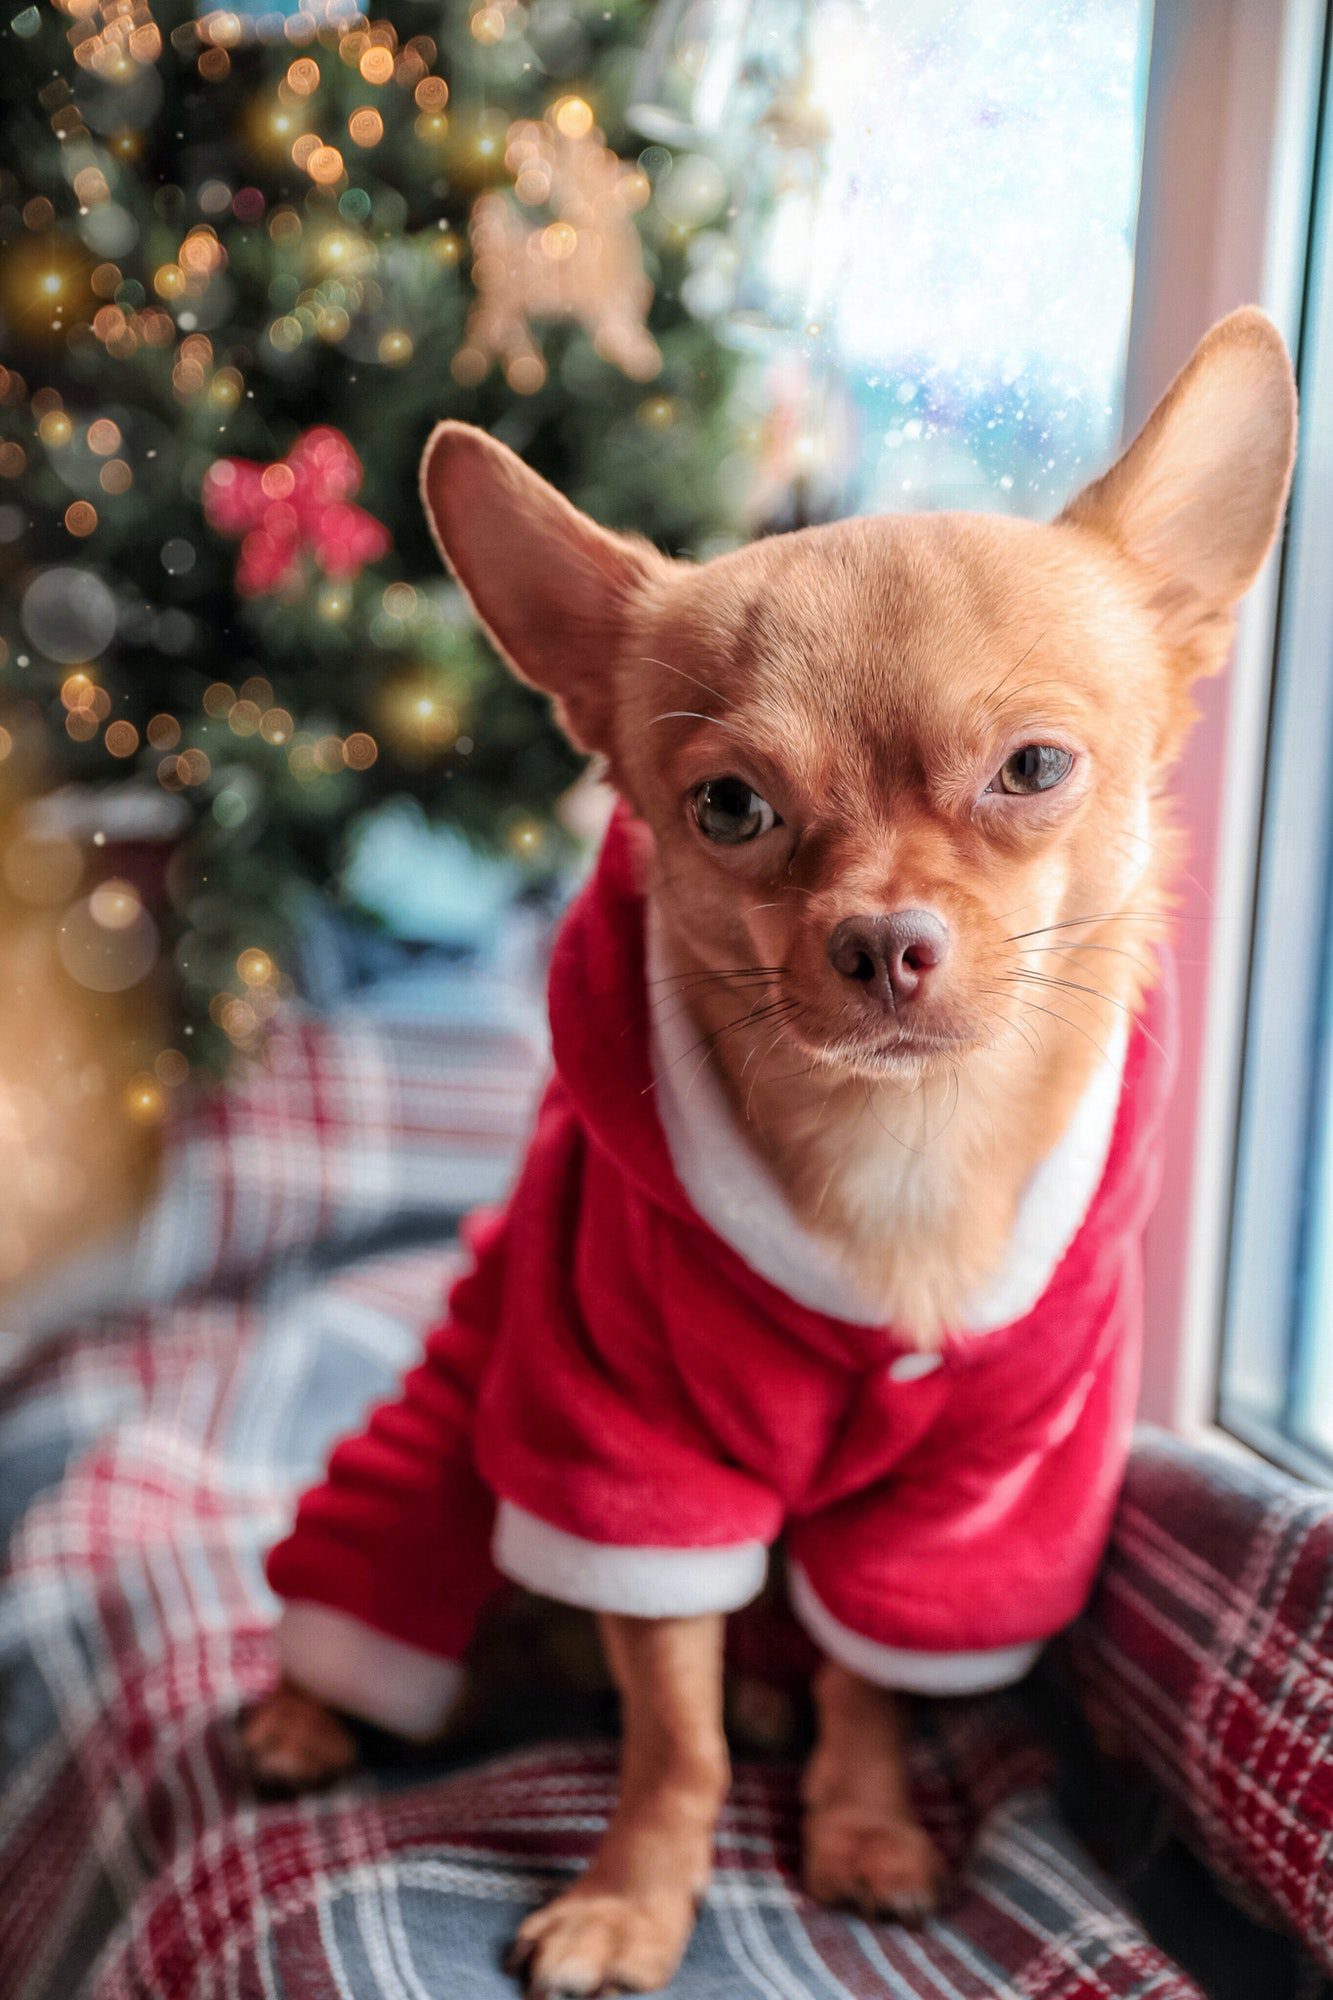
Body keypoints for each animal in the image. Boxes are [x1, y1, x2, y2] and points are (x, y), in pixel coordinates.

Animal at [244, 304, 1288, 1992]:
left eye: (1034, 770)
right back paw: (302, 1716)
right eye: (728, 807)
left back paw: (767, 1692)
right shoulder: (631, 1469)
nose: (881, 940)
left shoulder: (959, 1515)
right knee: (390, 1623)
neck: (899, 1158)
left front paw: (862, 1829)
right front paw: (634, 1896)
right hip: (432, 1480)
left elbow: (871, 1684)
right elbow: (669, 1740)